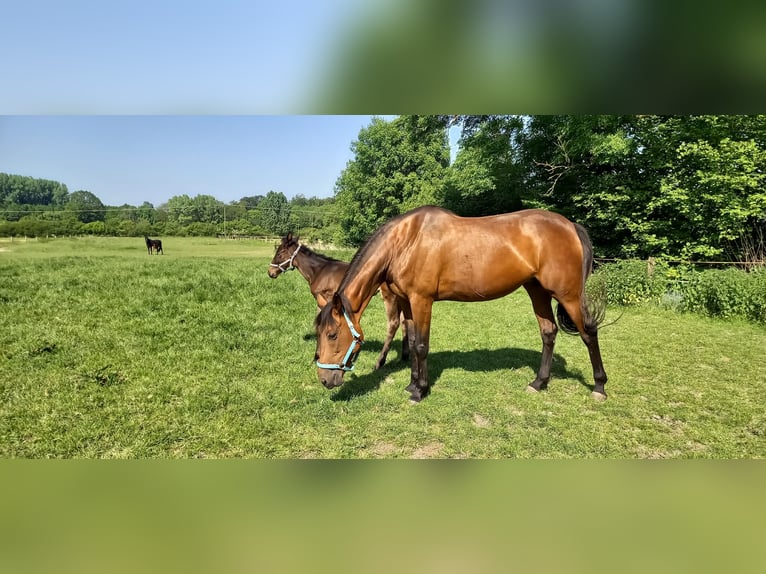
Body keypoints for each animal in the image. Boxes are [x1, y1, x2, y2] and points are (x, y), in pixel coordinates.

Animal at [272, 233, 412, 372]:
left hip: (390, 297)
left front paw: (317, 355)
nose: (270, 272)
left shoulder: (326, 299)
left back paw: (380, 363)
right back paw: (404, 356)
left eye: (280, 253)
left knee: (394, 323)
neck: (319, 271)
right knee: (404, 321)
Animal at [316, 207, 608, 404]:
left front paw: (420, 391)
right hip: (537, 291)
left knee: (588, 333)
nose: (324, 380)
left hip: (568, 295)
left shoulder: (422, 300)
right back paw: (538, 382)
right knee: (549, 333)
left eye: (332, 334)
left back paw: (599, 387)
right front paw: (412, 385)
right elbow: (412, 341)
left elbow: (421, 346)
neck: (406, 241)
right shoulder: (408, 303)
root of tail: (570, 226)